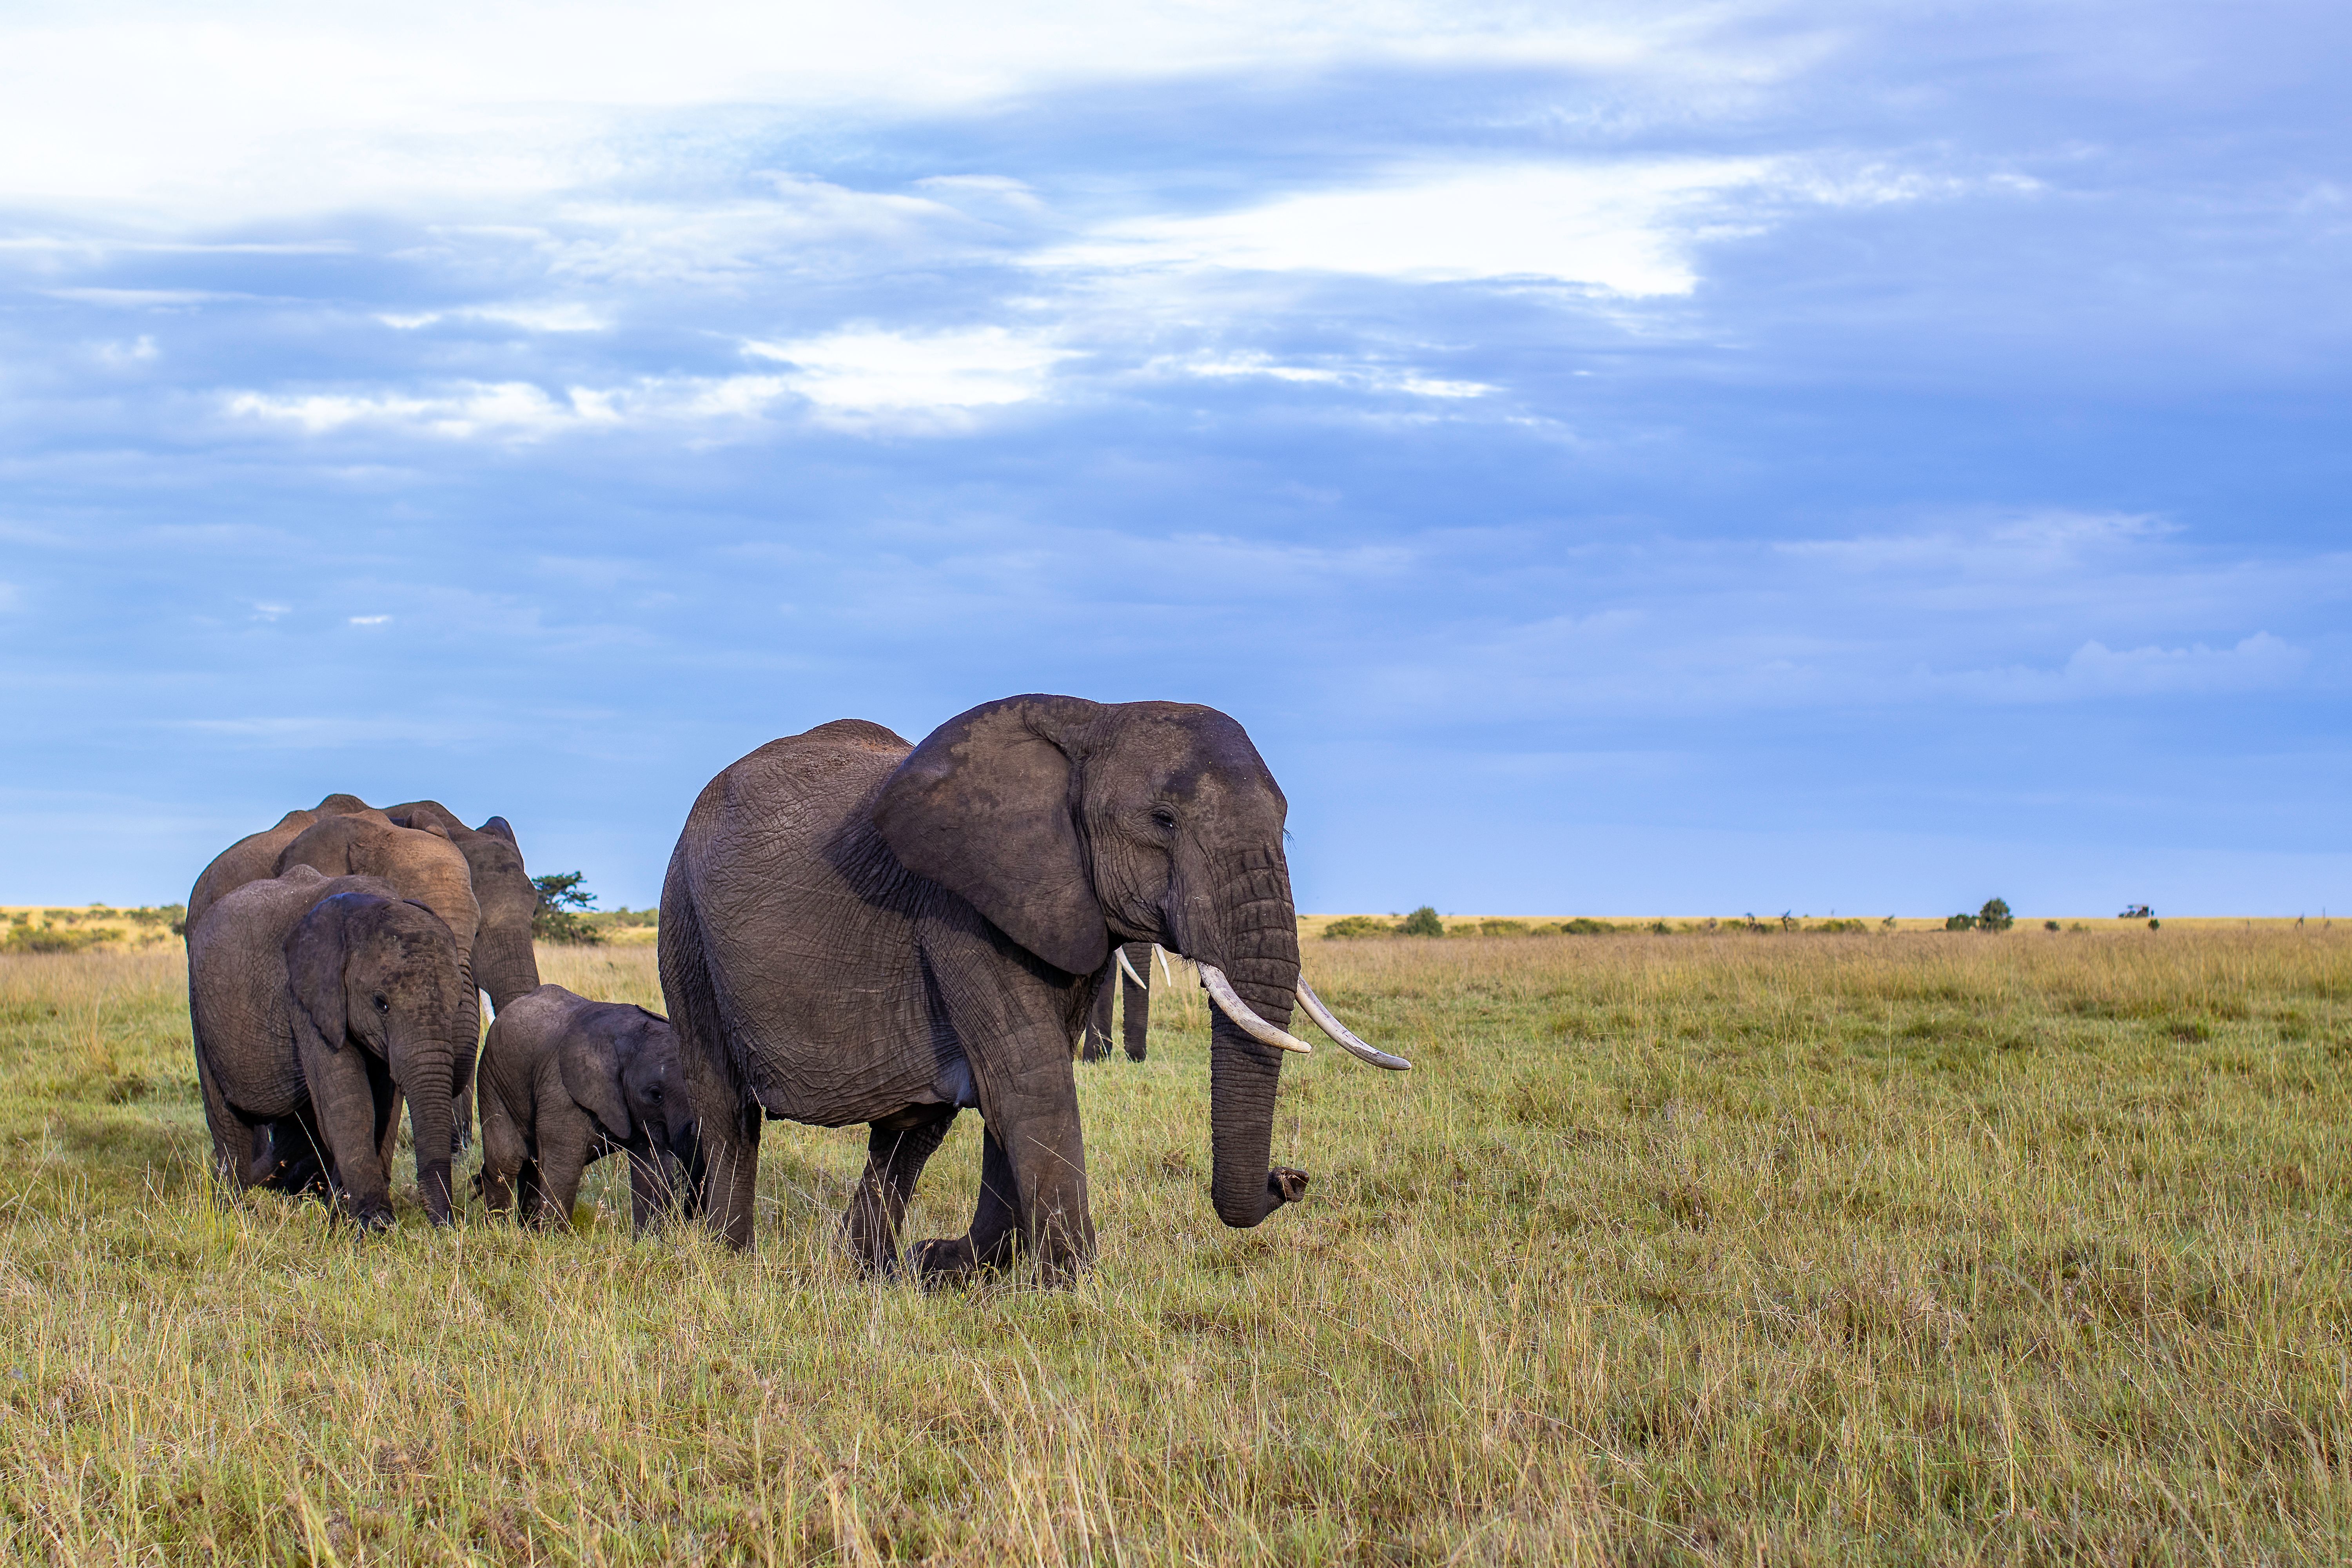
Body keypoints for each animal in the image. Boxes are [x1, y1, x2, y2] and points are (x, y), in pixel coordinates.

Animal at [188, 867, 471, 1228]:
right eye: (381, 1004)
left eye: (456, 1002)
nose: (448, 1225)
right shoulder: (309, 999)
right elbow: (349, 1102)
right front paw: (374, 1226)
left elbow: (384, 1106)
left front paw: (344, 1217)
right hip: (201, 1012)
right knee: (226, 1117)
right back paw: (231, 1210)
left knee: (297, 1131)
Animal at [476, 985, 704, 1235]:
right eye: (656, 1095)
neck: (627, 1041)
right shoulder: (562, 1092)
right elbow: (563, 1165)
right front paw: (555, 1238)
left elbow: (651, 1167)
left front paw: (650, 1238)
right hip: (492, 1078)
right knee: (506, 1161)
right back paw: (497, 1231)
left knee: (530, 1166)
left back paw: (526, 1231)